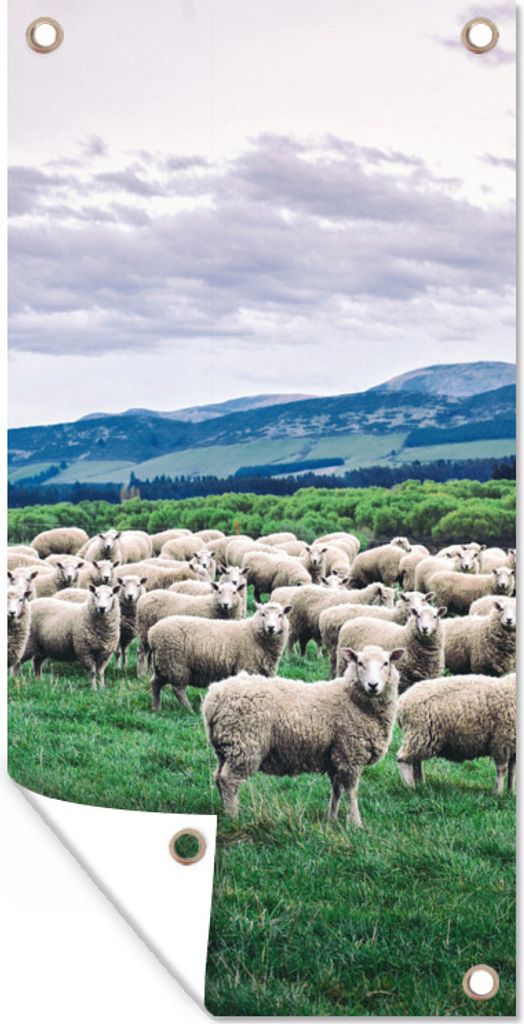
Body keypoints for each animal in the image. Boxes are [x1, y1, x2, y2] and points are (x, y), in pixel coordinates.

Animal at [148, 601, 291, 711]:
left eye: (280, 615)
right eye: (263, 614)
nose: (271, 627)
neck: (253, 634)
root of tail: (152, 633)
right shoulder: (248, 667)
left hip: (163, 664)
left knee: (155, 683)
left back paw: (156, 708)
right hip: (176, 664)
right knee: (178, 690)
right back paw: (189, 710)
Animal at [203, 644, 404, 824]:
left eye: (386, 663)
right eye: (360, 663)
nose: (373, 685)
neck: (352, 699)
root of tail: (213, 698)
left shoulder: (335, 756)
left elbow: (336, 790)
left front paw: (331, 819)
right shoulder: (350, 754)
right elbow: (351, 792)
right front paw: (356, 823)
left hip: (225, 747)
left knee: (218, 777)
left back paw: (224, 811)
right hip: (244, 744)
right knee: (229, 780)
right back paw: (233, 817)